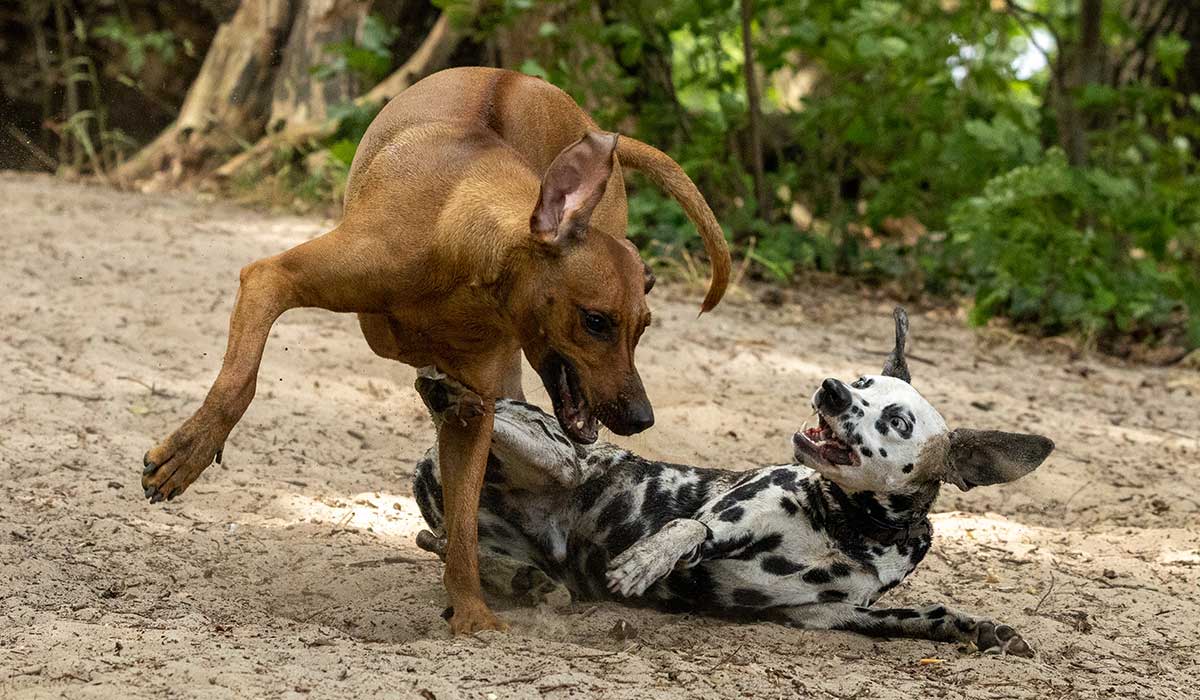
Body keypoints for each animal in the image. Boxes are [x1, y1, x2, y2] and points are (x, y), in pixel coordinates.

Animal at [138, 67, 729, 633]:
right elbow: (239, 382)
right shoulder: (270, 279)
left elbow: (465, 522)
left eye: (643, 327)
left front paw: (471, 613)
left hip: (509, 378)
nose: (641, 417)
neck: (463, 246)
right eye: (596, 322)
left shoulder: (474, 409)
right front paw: (187, 453)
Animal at [410, 309, 1051, 653]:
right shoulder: (737, 513)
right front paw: (646, 560)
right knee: (480, 421)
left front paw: (984, 629)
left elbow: (932, 615)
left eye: (897, 420)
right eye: (863, 381)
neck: (849, 528)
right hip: (563, 456)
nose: (832, 388)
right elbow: (690, 528)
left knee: (450, 550)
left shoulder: (836, 616)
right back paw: (446, 387)